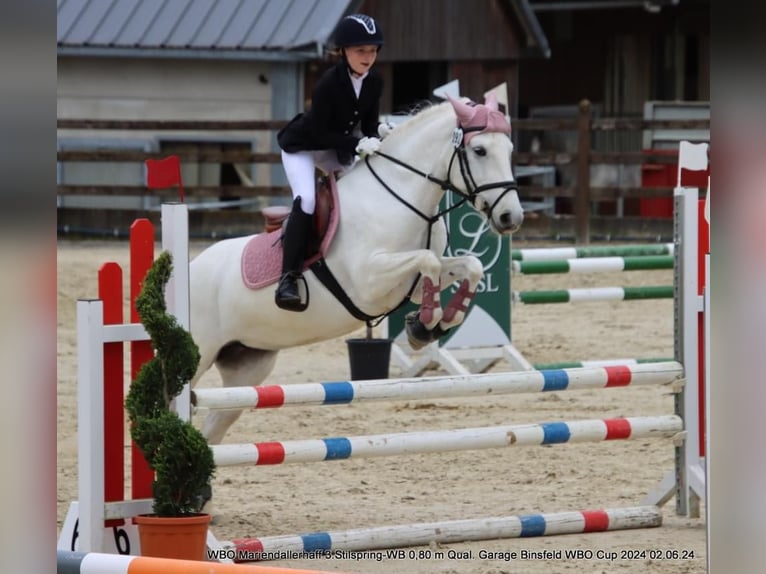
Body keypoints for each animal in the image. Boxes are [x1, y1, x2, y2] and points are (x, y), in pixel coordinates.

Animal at [190, 94, 524, 446]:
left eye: (509, 149)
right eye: (480, 150)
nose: (511, 217)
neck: (401, 197)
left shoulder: (412, 284)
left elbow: (469, 266)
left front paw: (434, 323)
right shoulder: (369, 281)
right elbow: (428, 261)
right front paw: (425, 325)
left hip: (248, 365)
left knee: (213, 426)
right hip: (200, 354)